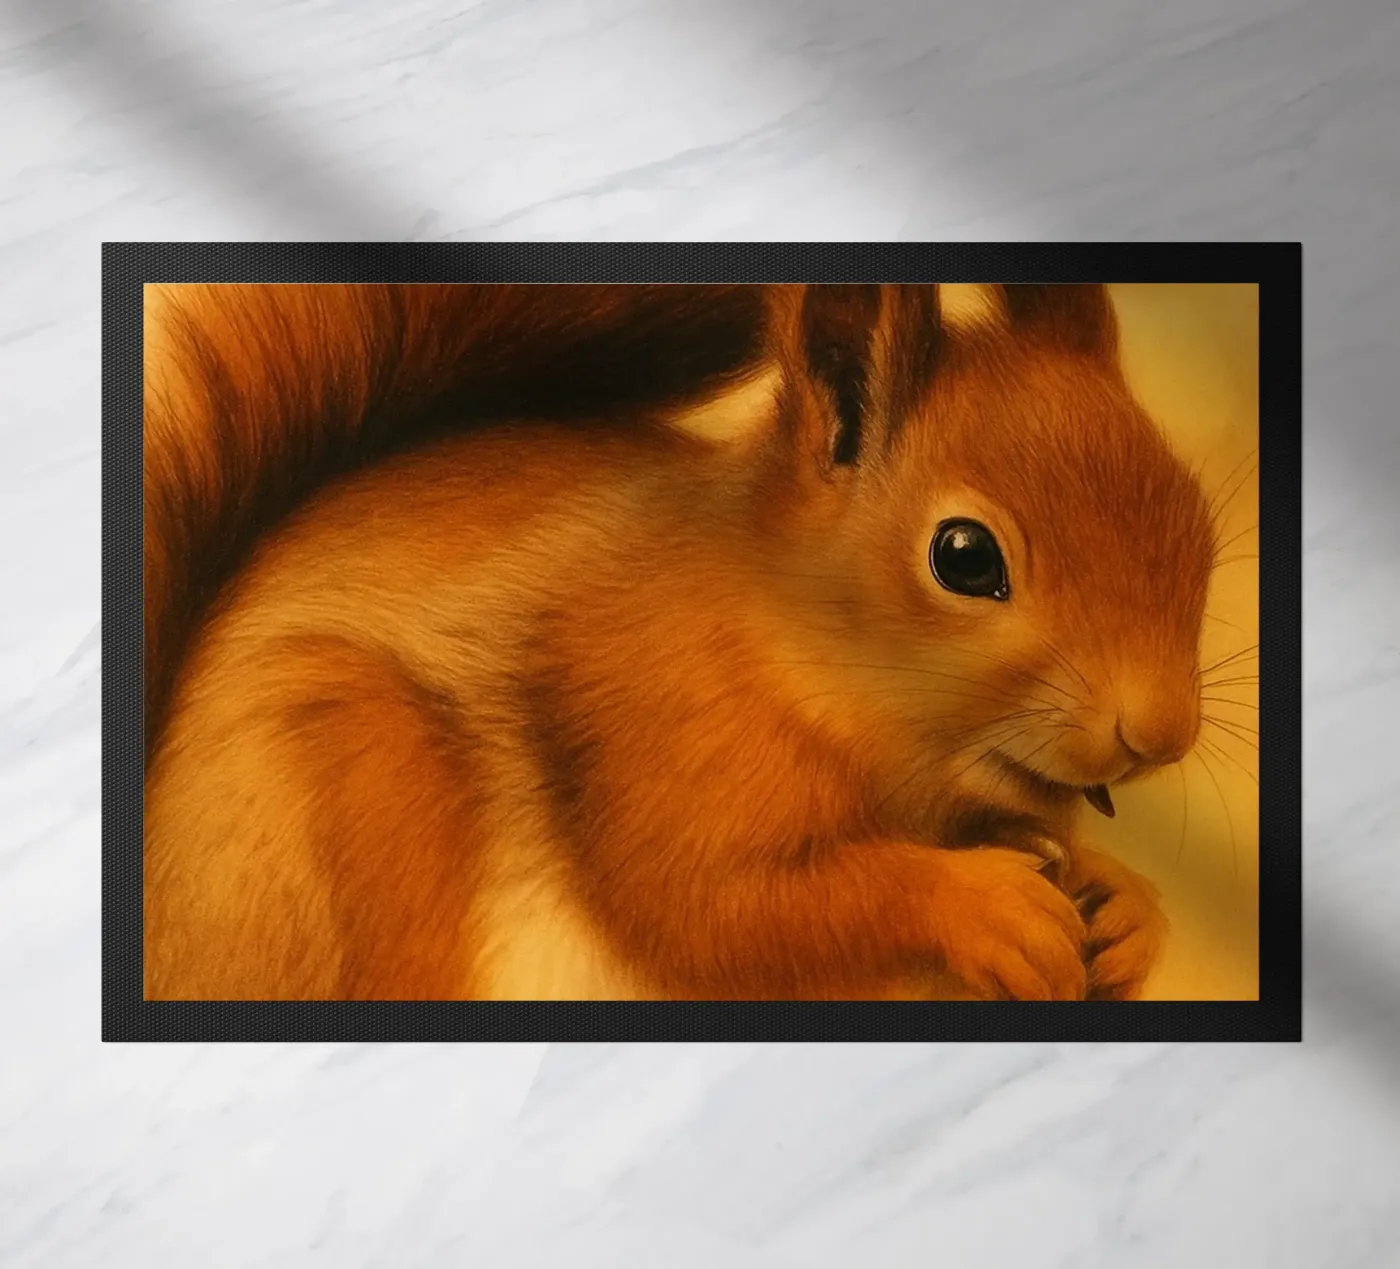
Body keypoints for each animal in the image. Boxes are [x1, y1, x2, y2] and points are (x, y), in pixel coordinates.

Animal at [143, 280, 1209, 1003]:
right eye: (964, 555)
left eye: (1196, 518)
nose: (1162, 734)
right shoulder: (647, 719)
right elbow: (710, 906)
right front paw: (981, 906)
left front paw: (1128, 910)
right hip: (352, 775)